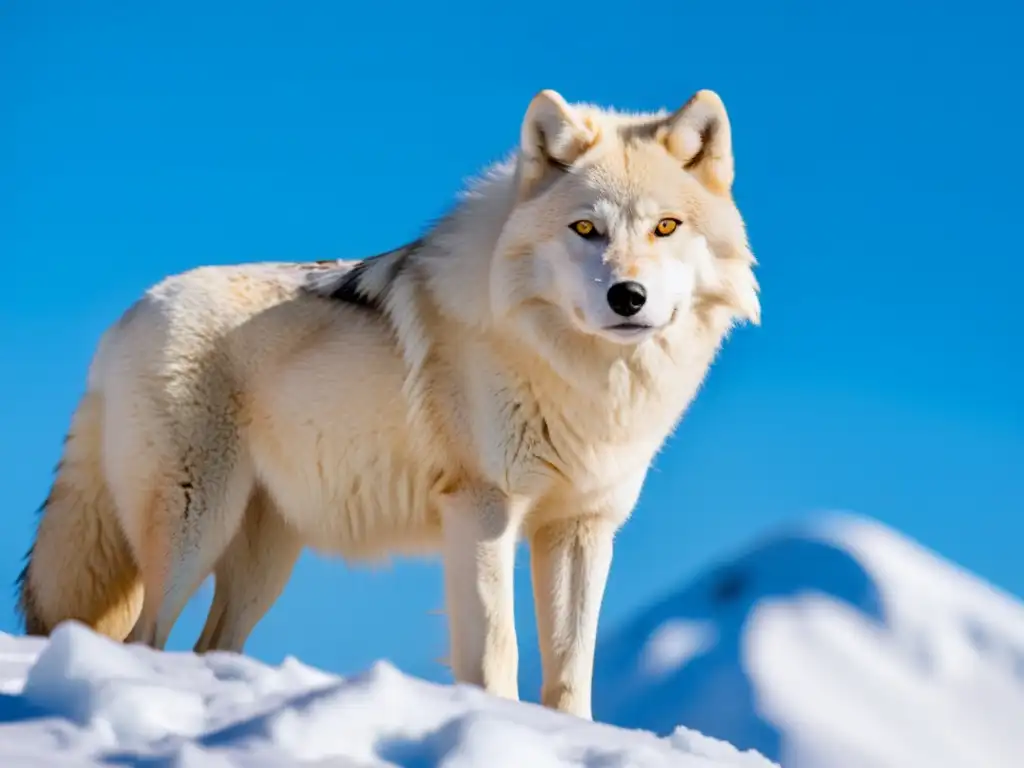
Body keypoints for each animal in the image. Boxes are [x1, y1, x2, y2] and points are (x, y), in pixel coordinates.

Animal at [12, 90, 757, 720]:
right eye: (585, 229)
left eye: (665, 227)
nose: (627, 297)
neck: (580, 374)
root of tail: (127, 317)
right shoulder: (482, 509)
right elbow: (497, 651)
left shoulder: (581, 527)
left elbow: (572, 670)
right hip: (195, 530)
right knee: (144, 638)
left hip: (261, 561)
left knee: (206, 645)